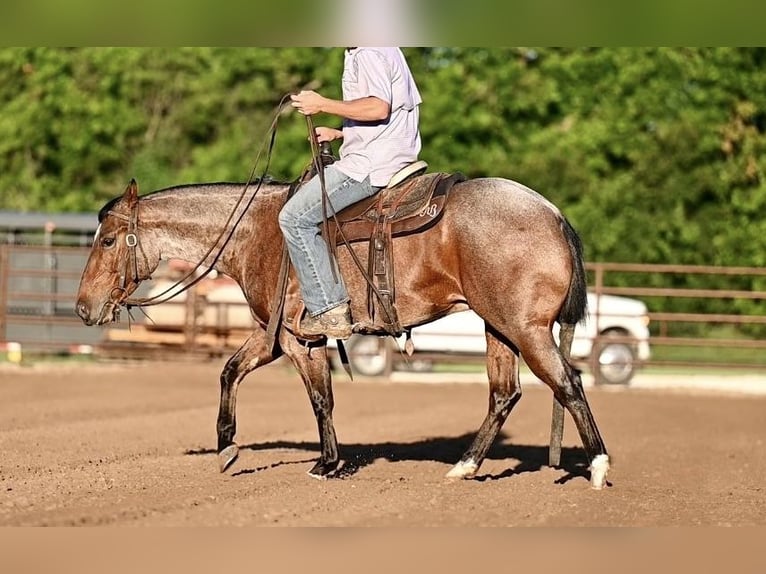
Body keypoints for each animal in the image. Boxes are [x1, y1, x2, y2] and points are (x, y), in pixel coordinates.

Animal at [75, 176, 610, 489]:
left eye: (107, 240)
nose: (82, 308)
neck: (257, 231)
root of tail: (553, 214)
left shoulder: (295, 339)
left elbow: (319, 398)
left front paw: (325, 463)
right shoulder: (274, 335)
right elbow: (232, 371)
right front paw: (228, 447)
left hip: (525, 329)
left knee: (568, 384)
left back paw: (598, 468)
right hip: (497, 327)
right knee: (505, 393)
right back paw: (465, 466)